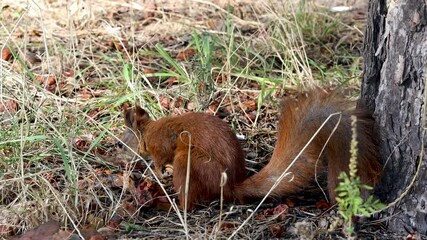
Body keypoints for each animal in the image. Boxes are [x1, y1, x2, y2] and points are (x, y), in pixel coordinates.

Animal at [119, 89, 382, 209]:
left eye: (121, 143)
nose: (119, 157)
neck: (149, 131)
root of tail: (231, 187)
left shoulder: (163, 144)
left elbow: (161, 157)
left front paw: (156, 170)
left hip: (190, 162)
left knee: (189, 198)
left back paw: (172, 205)